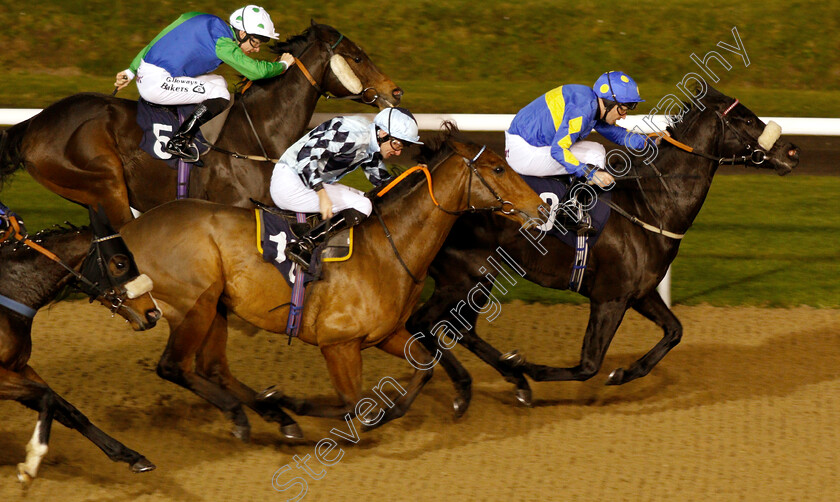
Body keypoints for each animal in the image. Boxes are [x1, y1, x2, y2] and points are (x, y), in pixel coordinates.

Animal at [0, 23, 402, 227]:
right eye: (357, 57)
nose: (394, 91)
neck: (256, 135)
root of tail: (32, 125)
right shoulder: (236, 208)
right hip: (105, 183)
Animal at [0, 208, 160, 486]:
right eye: (120, 263)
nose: (152, 314)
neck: (10, 295)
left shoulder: (19, 368)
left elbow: (67, 409)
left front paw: (130, 455)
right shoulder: (1, 376)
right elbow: (47, 396)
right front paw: (31, 462)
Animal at [115, 134, 540, 444]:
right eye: (499, 168)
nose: (541, 207)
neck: (389, 247)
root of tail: (130, 228)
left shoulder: (384, 335)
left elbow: (425, 368)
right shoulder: (338, 344)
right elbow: (353, 403)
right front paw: (294, 400)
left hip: (216, 305)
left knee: (213, 368)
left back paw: (274, 417)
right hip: (194, 305)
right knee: (174, 366)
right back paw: (252, 414)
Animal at [406, 86, 800, 408]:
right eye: (746, 118)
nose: (792, 151)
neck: (651, 207)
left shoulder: (639, 292)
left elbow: (675, 331)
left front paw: (624, 373)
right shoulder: (609, 297)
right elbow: (588, 365)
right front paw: (530, 366)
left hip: (477, 277)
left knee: (458, 329)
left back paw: (506, 381)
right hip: (463, 276)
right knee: (423, 323)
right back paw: (477, 385)